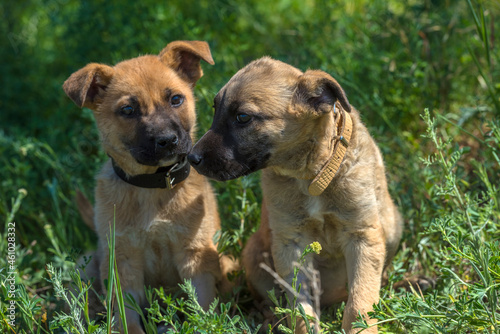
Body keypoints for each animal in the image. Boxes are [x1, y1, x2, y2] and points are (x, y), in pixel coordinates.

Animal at [63, 41, 230, 334]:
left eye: (176, 99)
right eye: (128, 110)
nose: (167, 140)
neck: (153, 187)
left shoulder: (195, 255)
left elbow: (202, 305)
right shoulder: (123, 262)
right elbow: (126, 315)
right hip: (86, 268)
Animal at [188, 57, 402, 334]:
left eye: (242, 117)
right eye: (215, 110)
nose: (192, 158)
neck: (312, 176)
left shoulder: (362, 236)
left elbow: (360, 301)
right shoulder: (290, 243)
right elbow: (300, 307)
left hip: (394, 226)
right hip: (254, 255)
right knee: (270, 301)